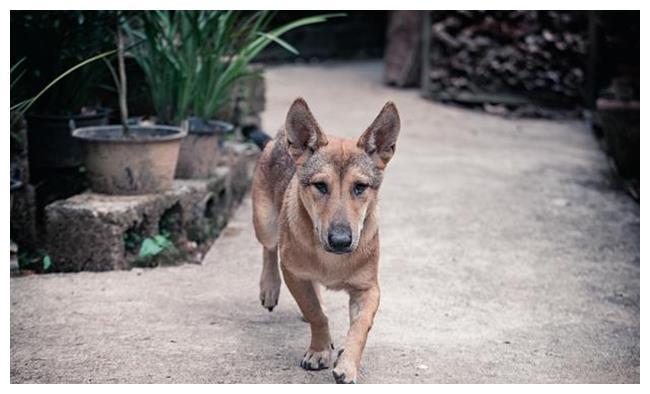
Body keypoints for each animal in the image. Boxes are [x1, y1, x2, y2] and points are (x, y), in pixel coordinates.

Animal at [249, 97, 398, 384]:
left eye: (360, 187)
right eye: (320, 186)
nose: (340, 241)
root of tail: (280, 136)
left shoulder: (368, 288)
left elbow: (360, 327)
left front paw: (347, 363)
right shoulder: (294, 274)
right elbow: (315, 313)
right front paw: (319, 351)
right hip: (265, 223)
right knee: (269, 249)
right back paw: (269, 288)